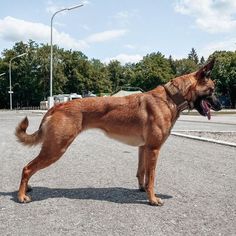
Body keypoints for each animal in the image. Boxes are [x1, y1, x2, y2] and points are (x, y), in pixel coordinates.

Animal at [15, 60, 221, 206]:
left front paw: (143, 190)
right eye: (211, 90)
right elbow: (152, 177)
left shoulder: (144, 148)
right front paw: (153, 199)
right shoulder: (154, 149)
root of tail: (57, 106)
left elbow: (142, 173)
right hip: (56, 148)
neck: (171, 97)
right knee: (27, 168)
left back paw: (27, 188)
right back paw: (21, 196)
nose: (219, 106)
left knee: (29, 168)